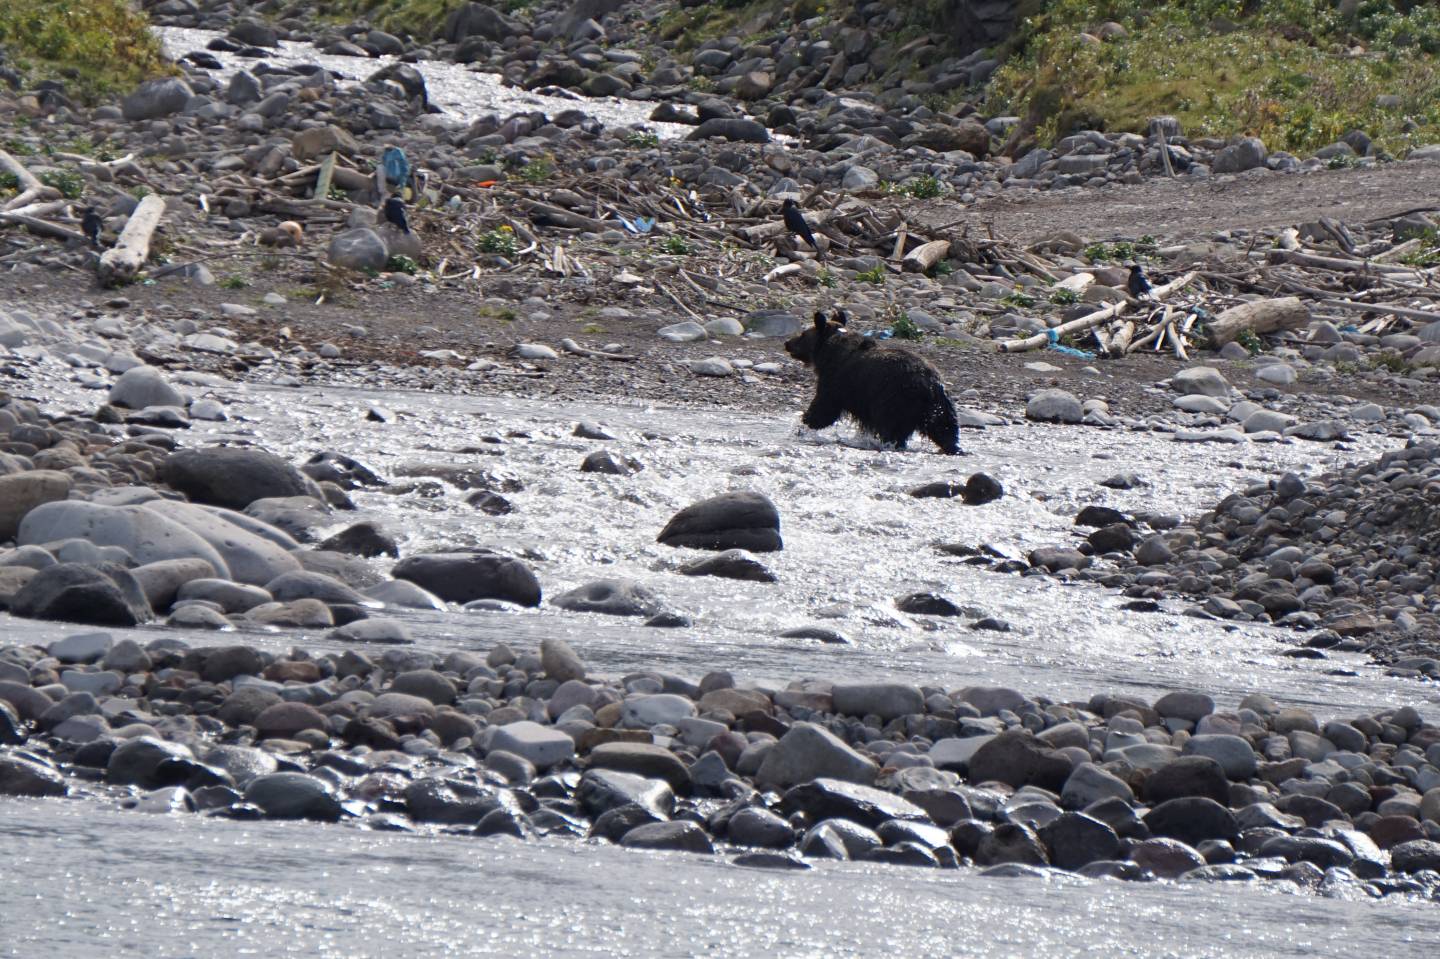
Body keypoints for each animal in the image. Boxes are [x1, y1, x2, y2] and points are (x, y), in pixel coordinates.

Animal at [783, 308, 961, 455]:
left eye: (803, 334)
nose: (787, 343)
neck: (827, 351)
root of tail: (928, 384)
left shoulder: (837, 381)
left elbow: (824, 409)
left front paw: (804, 423)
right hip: (939, 405)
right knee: (945, 428)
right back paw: (953, 447)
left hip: (895, 399)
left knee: (892, 428)